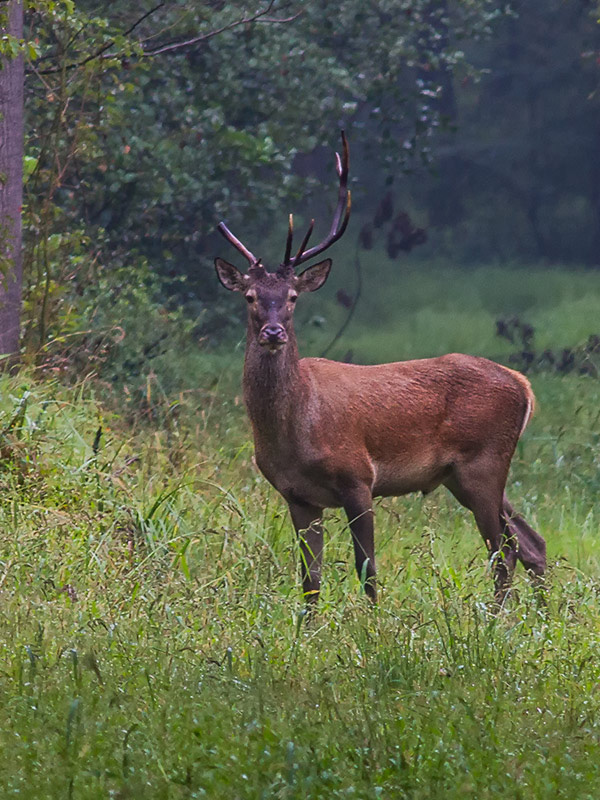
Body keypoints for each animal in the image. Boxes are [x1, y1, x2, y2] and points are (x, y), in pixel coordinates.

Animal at [213, 133, 548, 608]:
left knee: (503, 553)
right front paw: (309, 626)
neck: (296, 426)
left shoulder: (358, 477)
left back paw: (496, 618)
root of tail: (524, 386)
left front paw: (371, 623)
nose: (273, 332)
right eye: (250, 297)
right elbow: (310, 580)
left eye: (293, 296)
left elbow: (367, 569)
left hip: (484, 462)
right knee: (531, 543)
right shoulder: (297, 496)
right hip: (463, 476)